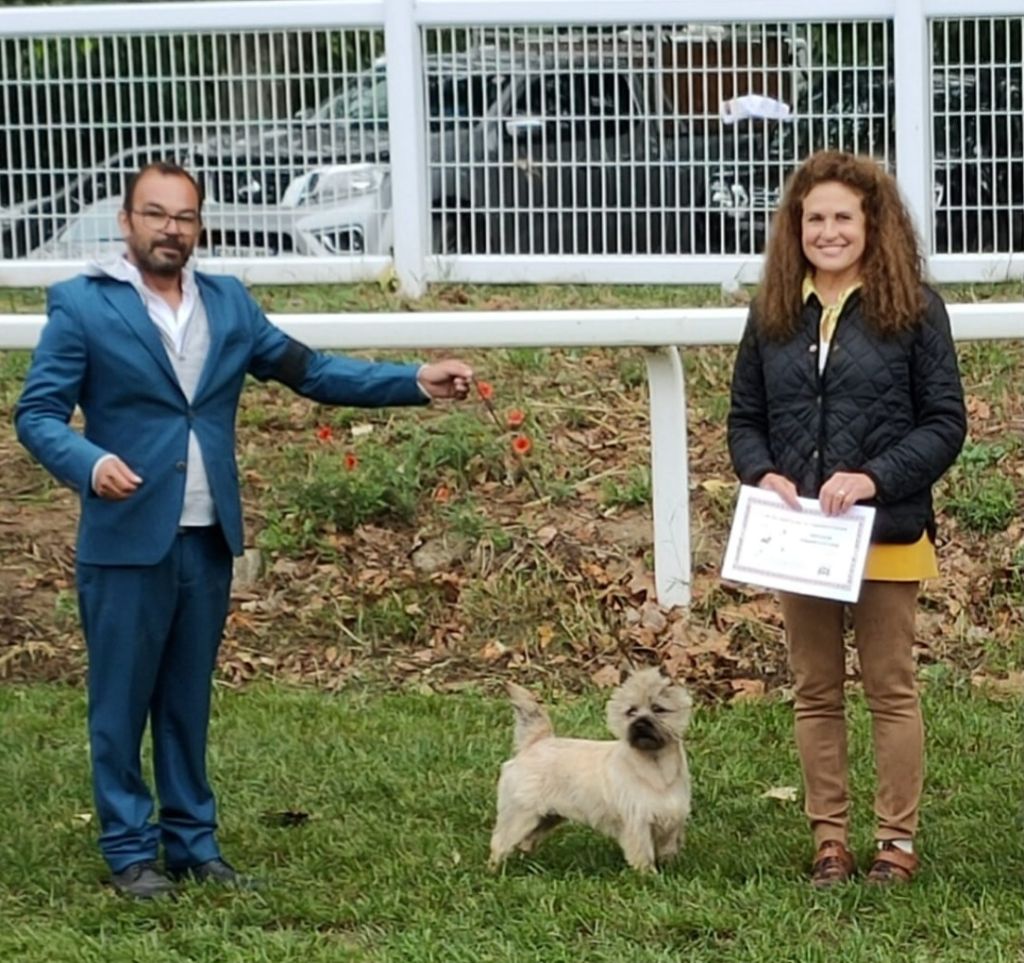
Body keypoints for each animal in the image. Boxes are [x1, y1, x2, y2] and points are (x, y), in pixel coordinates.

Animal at [489, 667, 696, 872]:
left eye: (658, 709)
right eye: (631, 711)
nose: (640, 723)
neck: (656, 768)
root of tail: (535, 743)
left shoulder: (672, 821)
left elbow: (668, 850)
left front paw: (670, 869)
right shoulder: (638, 823)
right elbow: (643, 855)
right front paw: (649, 875)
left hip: (546, 817)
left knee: (526, 841)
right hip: (521, 814)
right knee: (500, 841)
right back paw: (495, 869)